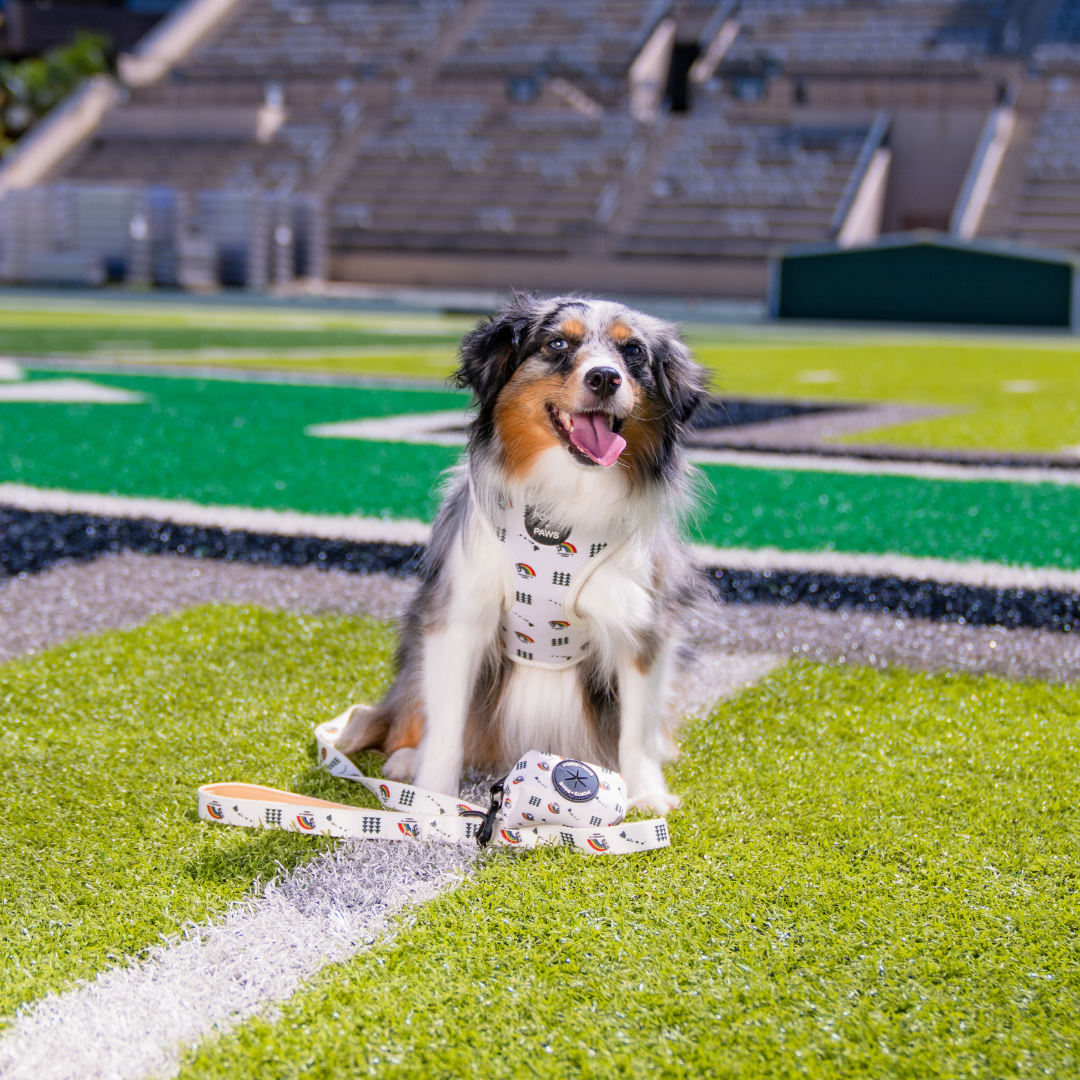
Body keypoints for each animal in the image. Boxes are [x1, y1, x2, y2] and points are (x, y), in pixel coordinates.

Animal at [336, 291, 708, 812]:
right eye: (557, 344)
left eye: (633, 351)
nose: (605, 377)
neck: (565, 499)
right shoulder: (460, 614)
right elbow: (446, 723)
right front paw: (435, 796)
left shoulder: (640, 625)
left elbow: (636, 727)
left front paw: (647, 795)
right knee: (410, 710)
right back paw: (407, 759)